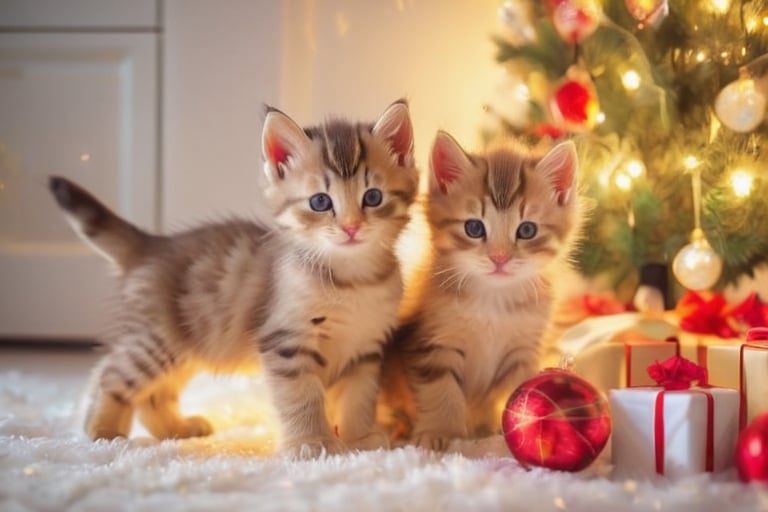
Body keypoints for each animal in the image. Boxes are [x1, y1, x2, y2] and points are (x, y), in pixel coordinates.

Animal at [48, 100, 420, 460]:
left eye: (373, 197)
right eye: (320, 201)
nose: (351, 227)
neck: (353, 280)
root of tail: (154, 242)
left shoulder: (366, 349)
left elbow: (359, 398)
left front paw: (360, 439)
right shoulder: (285, 342)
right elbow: (303, 398)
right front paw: (313, 443)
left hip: (186, 349)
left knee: (153, 395)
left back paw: (176, 429)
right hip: (156, 342)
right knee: (109, 374)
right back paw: (102, 433)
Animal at [380, 130, 580, 450]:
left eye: (527, 230)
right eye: (474, 228)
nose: (499, 258)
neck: (493, 299)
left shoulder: (522, 351)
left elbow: (514, 389)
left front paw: (509, 429)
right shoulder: (433, 341)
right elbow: (441, 390)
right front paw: (442, 433)